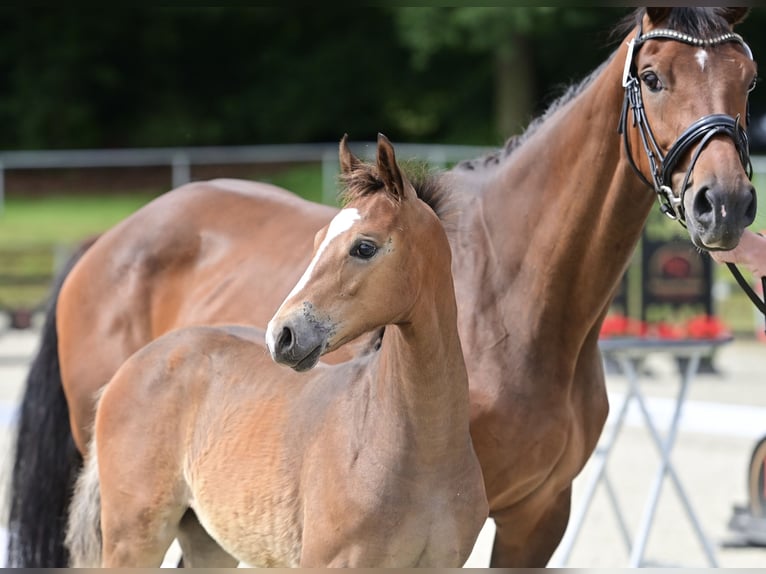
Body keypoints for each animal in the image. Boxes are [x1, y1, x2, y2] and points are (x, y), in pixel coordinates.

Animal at [64, 136, 486, 572]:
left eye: (364, 247)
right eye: (317, 241)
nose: (282, 335)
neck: (417, 450)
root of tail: (128, 369)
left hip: (207, 541)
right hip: (133, 540)